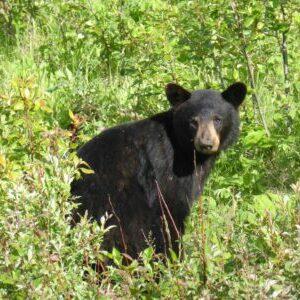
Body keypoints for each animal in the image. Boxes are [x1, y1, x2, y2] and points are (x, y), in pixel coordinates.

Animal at [71, 82, 247, 260]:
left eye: (217, 119)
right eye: (193, 121)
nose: (206, 144)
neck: (184, 150)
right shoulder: (167, 173)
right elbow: (171, 213)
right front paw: (175, 257)